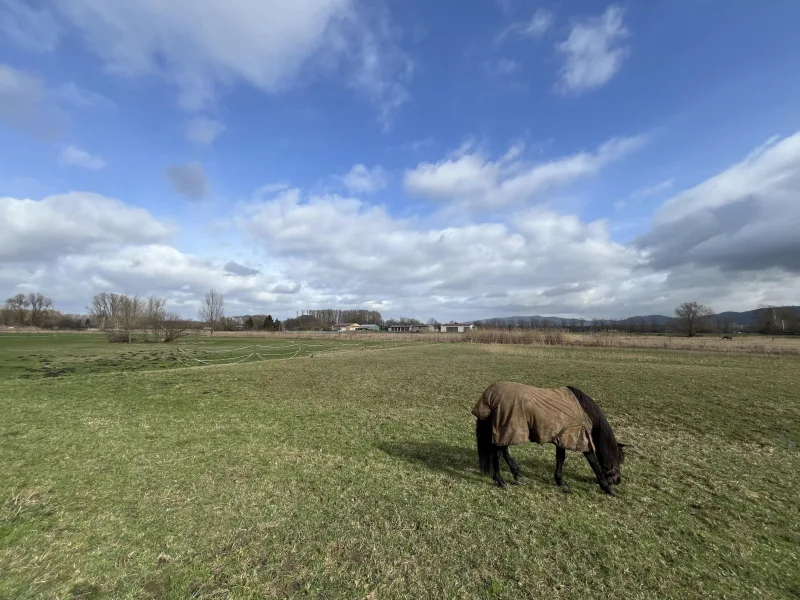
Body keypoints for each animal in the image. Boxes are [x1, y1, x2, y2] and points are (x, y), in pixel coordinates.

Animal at [472, 382, 628, 494]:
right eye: (618, 459)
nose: (618, 480)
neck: (584, 410)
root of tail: (489, 396)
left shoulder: (563, 438)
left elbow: (560, 459)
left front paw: (560, 482)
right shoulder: (583, 440)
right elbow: (595, 464)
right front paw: (608, 489)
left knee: (502, 451)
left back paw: (517, 474)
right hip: (507, 430)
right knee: (497, 453)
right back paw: (501, 481)